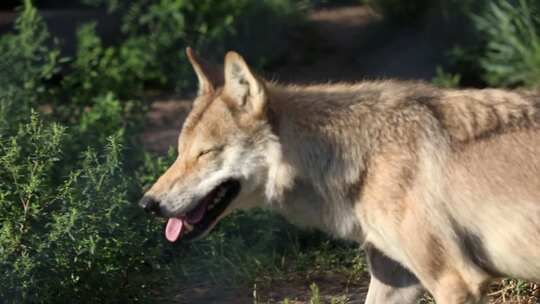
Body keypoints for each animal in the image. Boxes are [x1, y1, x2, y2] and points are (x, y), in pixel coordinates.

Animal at [140, 48, 540, 304]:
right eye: (179, 152)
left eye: (204, 153)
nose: (147, 204)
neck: (362, 159)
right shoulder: (398, 280)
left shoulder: (455, 282)